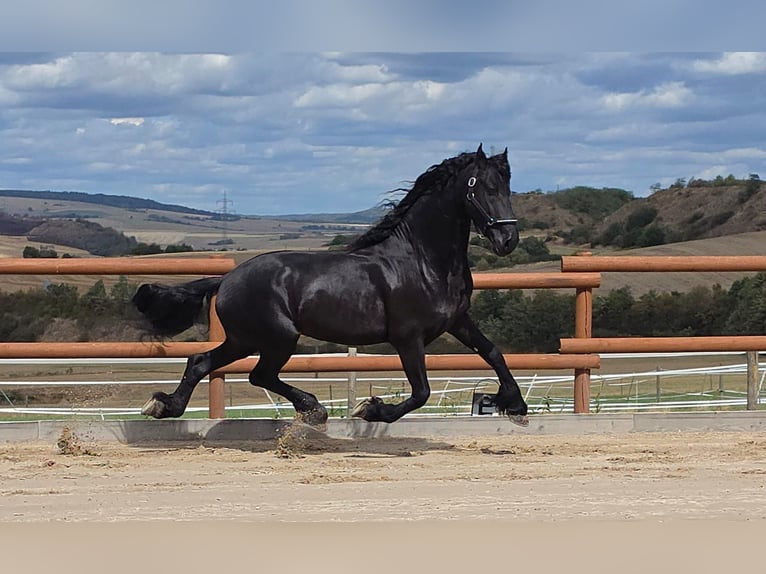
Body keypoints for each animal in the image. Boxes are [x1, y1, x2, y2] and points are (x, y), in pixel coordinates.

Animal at [132, 144, 529, 427]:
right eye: (483, 188)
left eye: (508, 187)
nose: (507, 240)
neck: (421, 261)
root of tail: (227, 278)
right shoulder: (407, 337)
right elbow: (421, 392)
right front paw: (370, 410)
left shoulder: (458, 321)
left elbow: (493, 352)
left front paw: (514, 404)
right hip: (277, 337)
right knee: (259, 374)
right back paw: (313, 409)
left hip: (245, 338)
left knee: (202, 361)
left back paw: (164, 406)